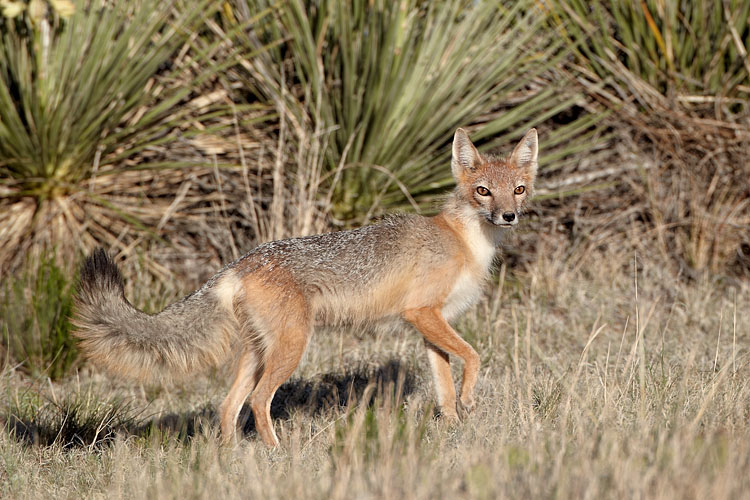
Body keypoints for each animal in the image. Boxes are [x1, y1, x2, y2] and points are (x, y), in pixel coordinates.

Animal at [73, 127, 538, 447]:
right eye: (483, 191)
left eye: (518, 189)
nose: (509, 216)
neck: (464, 240)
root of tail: (241, 261)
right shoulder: (422, 313)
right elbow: (474, 357)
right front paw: (470, 401)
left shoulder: (429, 325)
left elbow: (444, 388)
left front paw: (455, 430)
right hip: (291, 348)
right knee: (258, 401)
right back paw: (276, 453)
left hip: (261, 353)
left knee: (228, 406)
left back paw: (231, 459)